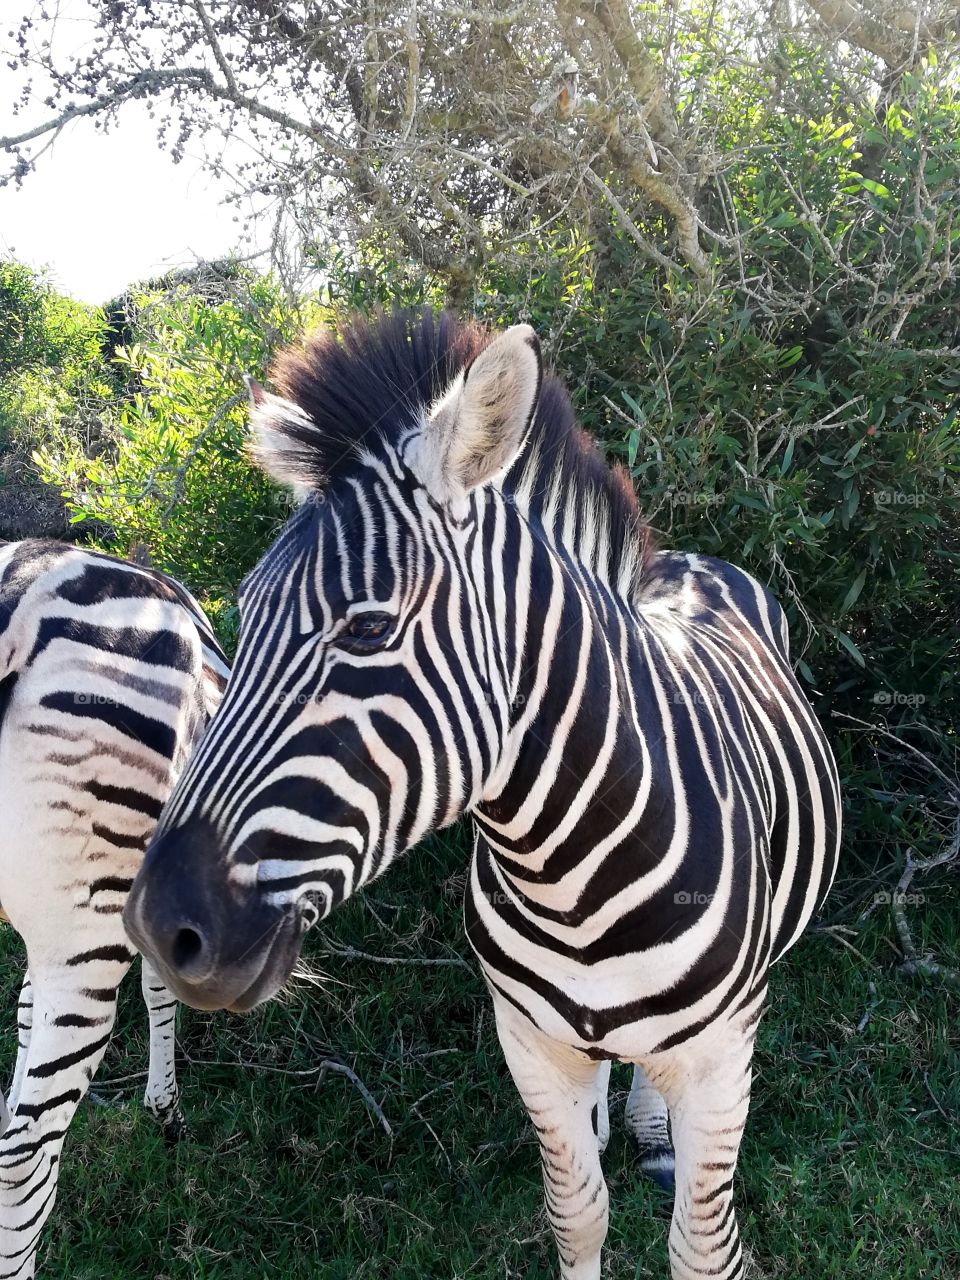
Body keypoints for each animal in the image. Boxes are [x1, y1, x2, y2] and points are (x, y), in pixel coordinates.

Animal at [0, 539, 227, 1279]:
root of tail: (26, 597)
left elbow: (22, 1010)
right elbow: (160, 990)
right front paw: (166, 1112)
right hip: (90, 936)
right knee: (25, 1159)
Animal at [125, 310, 841, 1280]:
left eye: (369, 629)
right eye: (246, 616)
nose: (162, 928)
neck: (571, 878)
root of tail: (690, 562)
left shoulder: (722, 1060)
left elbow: (702, 1247)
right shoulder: (529, 1043)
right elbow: (577, 1214)